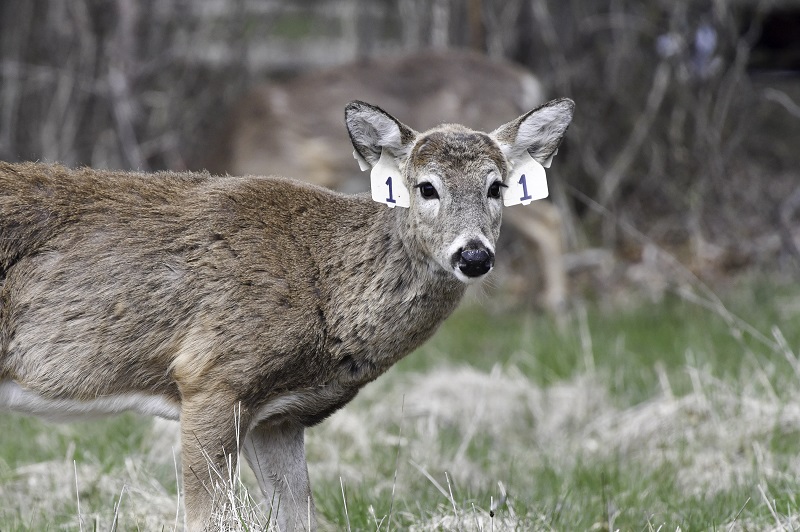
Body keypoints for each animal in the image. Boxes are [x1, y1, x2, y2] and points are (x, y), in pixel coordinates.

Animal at [0, 97, 574, 531]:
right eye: (426, 186)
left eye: (497, 186)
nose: (474, 255)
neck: (324, 283)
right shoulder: (212, 376)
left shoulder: (278, 417)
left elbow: (298, 518)